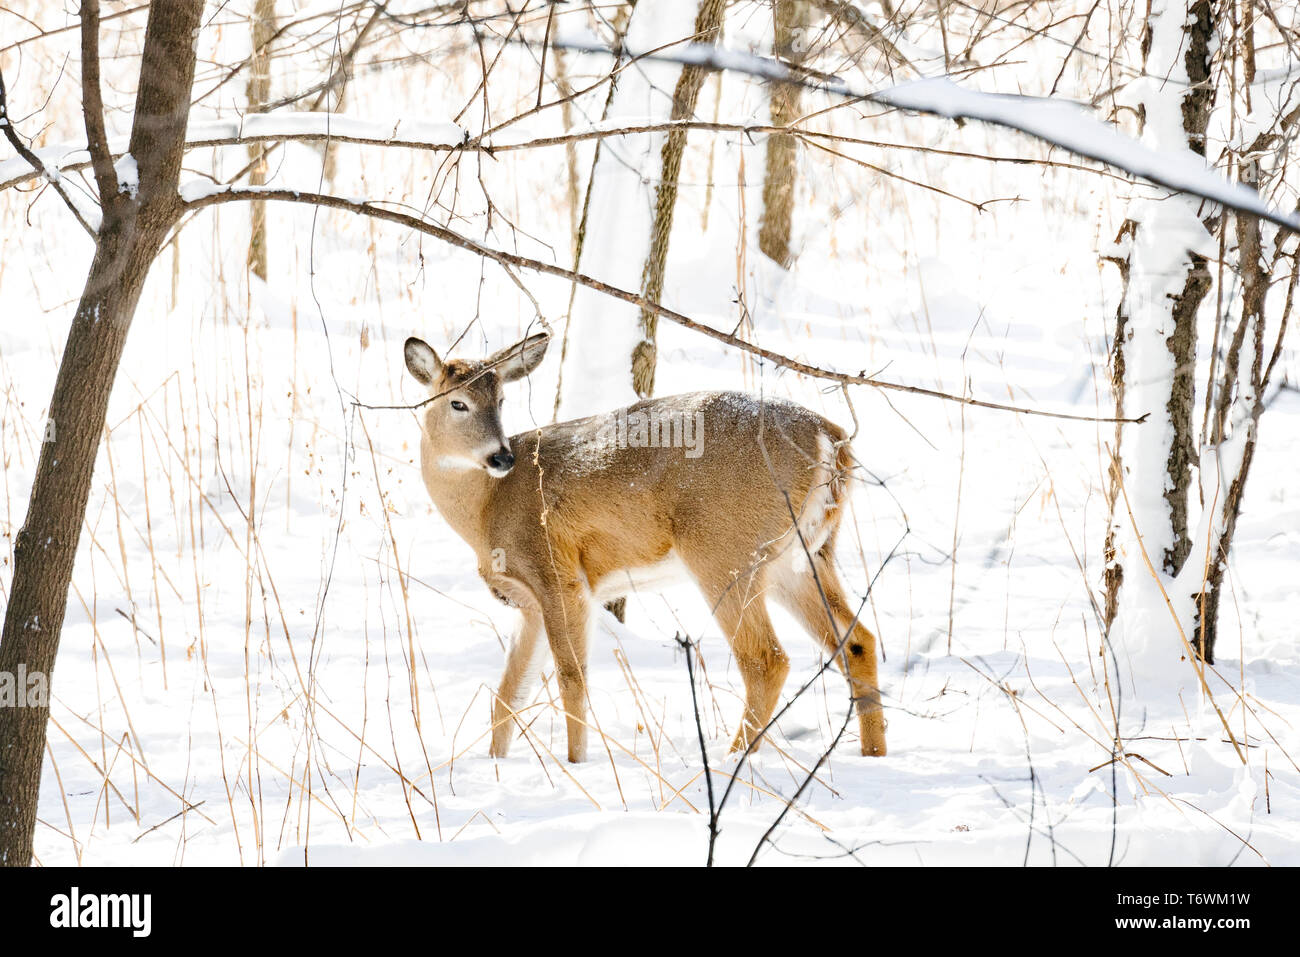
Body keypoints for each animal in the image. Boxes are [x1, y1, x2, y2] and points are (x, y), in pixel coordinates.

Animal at [403, 331, 887, 764]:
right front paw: (496, 765)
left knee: (766, 659)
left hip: (725, 549)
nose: (501, 457)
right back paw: (873, 754)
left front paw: (576, 763)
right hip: (803, 556)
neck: (487, 509)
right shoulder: (529, 602)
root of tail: (830, 438)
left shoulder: (558, 576)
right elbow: (508, 693)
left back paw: (733, 761)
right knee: (857, 641)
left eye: (502, 400)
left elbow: (571, 679)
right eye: (457, 402)